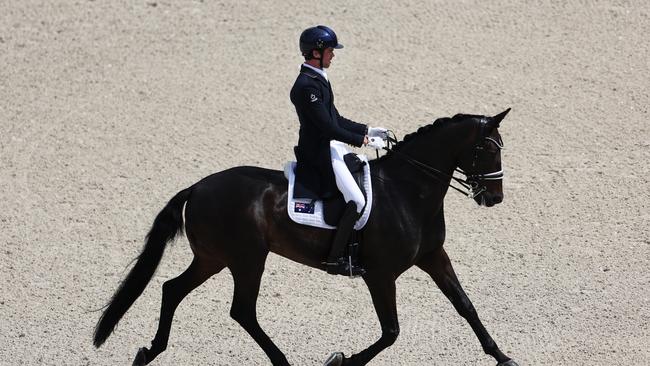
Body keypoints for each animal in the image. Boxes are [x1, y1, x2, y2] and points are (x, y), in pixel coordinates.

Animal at [92, 108, 516, 366]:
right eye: (486, 148)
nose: (494, 197)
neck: (407, 190)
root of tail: (197, 187)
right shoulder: (380, 276)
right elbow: (391, 332)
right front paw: (341, 360)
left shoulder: (433, 257)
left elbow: (466, 306)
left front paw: (502, 356)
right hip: (247, 259)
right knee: (241, 310)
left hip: (214, 258)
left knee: (173, 289)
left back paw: (150, 351)